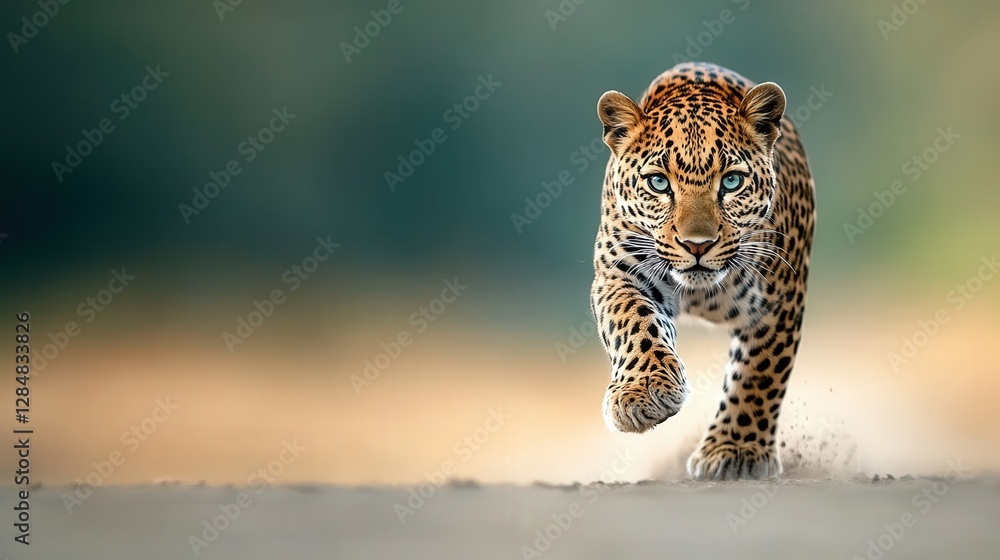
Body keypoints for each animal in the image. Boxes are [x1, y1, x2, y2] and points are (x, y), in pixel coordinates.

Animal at [590, 62, 816, 480]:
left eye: (732, 181)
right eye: (658, 182)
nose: (697, 244)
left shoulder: (779, 298)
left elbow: (758, 373)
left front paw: (737, 451)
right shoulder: (619, 273)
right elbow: (633, 322)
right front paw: (643, 393)